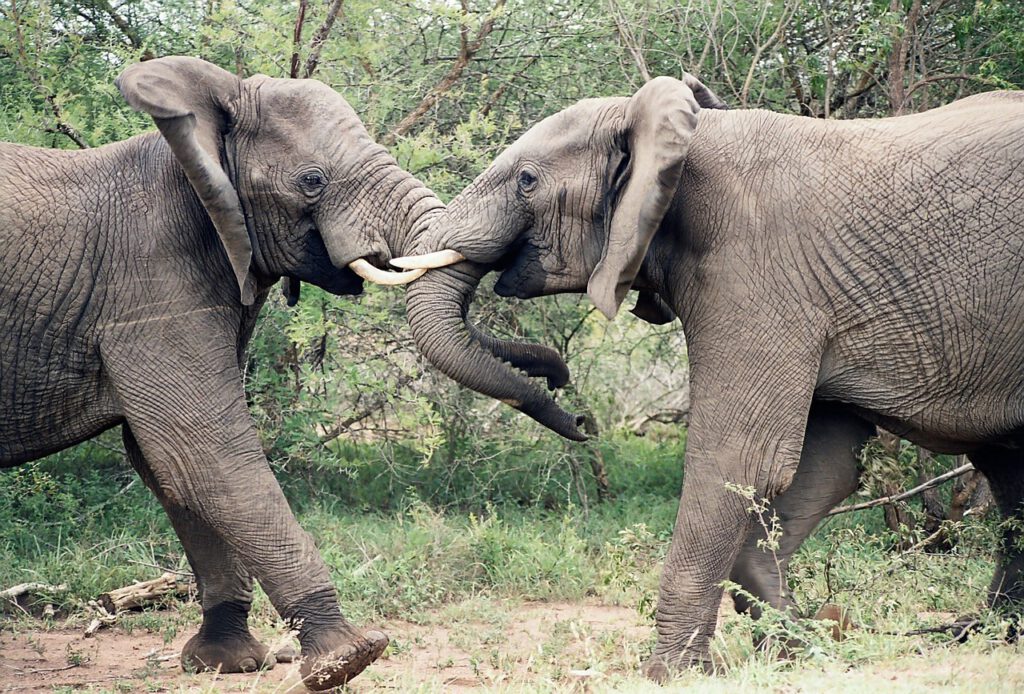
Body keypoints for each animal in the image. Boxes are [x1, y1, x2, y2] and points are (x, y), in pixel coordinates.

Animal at [0, 56, 567, 689]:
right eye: (312, 181)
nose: (569, 399)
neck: (197, 149)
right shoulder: (146, 286)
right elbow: (200, 449)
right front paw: (347, 659)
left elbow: (166, 464)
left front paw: (227, 662)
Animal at [395, 76, 1024, 679]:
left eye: (526, 181)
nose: (572, 410)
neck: (681, 138)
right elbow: (829, 464)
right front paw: (793, 643)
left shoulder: (756, 271)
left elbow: (739, 457)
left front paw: (668, 673)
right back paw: (996, 633)